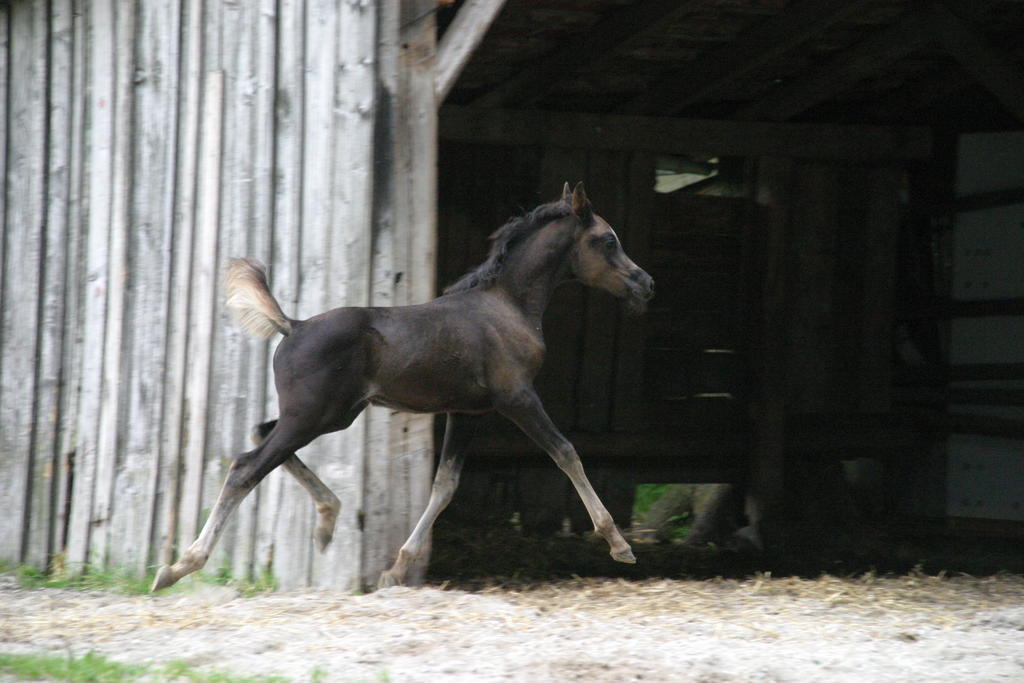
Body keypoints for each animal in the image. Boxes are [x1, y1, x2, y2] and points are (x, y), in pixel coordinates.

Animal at [153, 184, 655, 589]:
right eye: (607, 239)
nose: (646, 283)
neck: (507, 306)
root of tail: (292, 325)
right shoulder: (517, 398)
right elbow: (567, 453)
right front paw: (618, 544)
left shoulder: (468, 412)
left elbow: (445, 484)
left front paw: (396, 569)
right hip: (314, 416)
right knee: (246, 466)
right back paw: (177, 567)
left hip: (329, 415)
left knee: (261, 435)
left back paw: (327, 521)